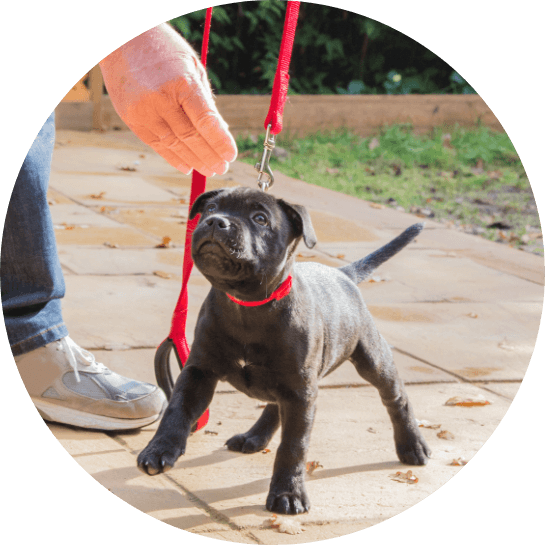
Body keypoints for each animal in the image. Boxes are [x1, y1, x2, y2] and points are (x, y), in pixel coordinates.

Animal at [138, 187, 432, 516]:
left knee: (396, 398)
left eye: (260, 218)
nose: (215, 222)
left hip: (371, 359)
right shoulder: (199, 371)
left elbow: (293, 446)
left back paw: (412, 445)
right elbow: (177, 409)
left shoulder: (301, 392)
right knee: (273, 404)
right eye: (211, 208)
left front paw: (288, 493)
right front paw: (159, 449)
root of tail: (343, 274)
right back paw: (254, 436)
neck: (247, 304)